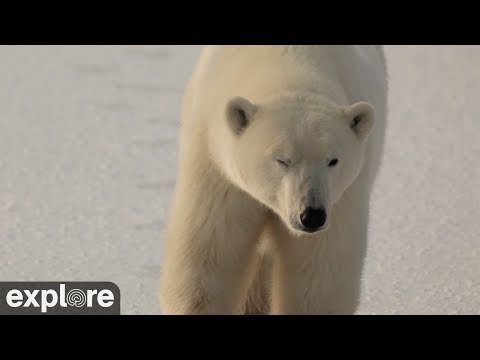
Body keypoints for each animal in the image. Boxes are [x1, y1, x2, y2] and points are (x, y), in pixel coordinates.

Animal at [159, 45, 388, 316]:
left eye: (333, 160)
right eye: (282, 160)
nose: (311, 215)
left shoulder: (342, 196)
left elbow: (317, 274)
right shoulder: (217, 171)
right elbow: (210, 254)